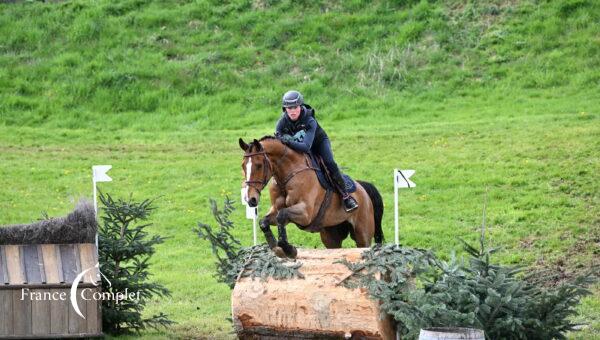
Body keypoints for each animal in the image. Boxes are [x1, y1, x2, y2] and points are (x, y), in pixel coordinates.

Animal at [237, 135, 382, 258]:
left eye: (259, 165)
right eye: (243, 165)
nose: (251, 199)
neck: (286, 176)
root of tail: (363, 188)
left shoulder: (305, 213)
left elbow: (281, 216)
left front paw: (289, 250)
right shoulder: (277, 210)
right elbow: (264, 222)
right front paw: (278, 249)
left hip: (362, 233)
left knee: (363, 244)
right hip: (330, 235)